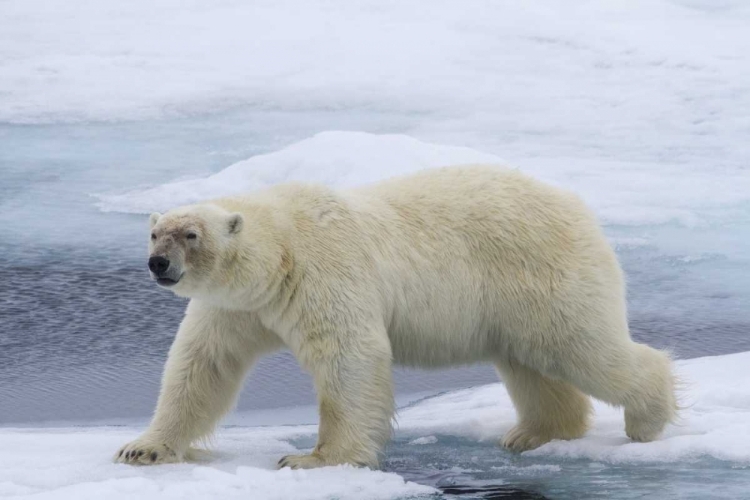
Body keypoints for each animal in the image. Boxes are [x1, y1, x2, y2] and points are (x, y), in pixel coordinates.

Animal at [114, 166, 680, 466]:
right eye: (155, 231)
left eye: (191, 234)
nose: (158, 264)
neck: (282, 251)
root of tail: (578, 208)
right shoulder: (237, 307)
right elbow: (202, 365)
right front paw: (142, 448)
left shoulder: (325, 272)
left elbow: (349, 359)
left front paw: (314, 457)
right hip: (515, 304)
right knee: (533, 364)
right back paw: (533, 434)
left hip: (541, 274)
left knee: (582, 347)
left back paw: (646, 419)